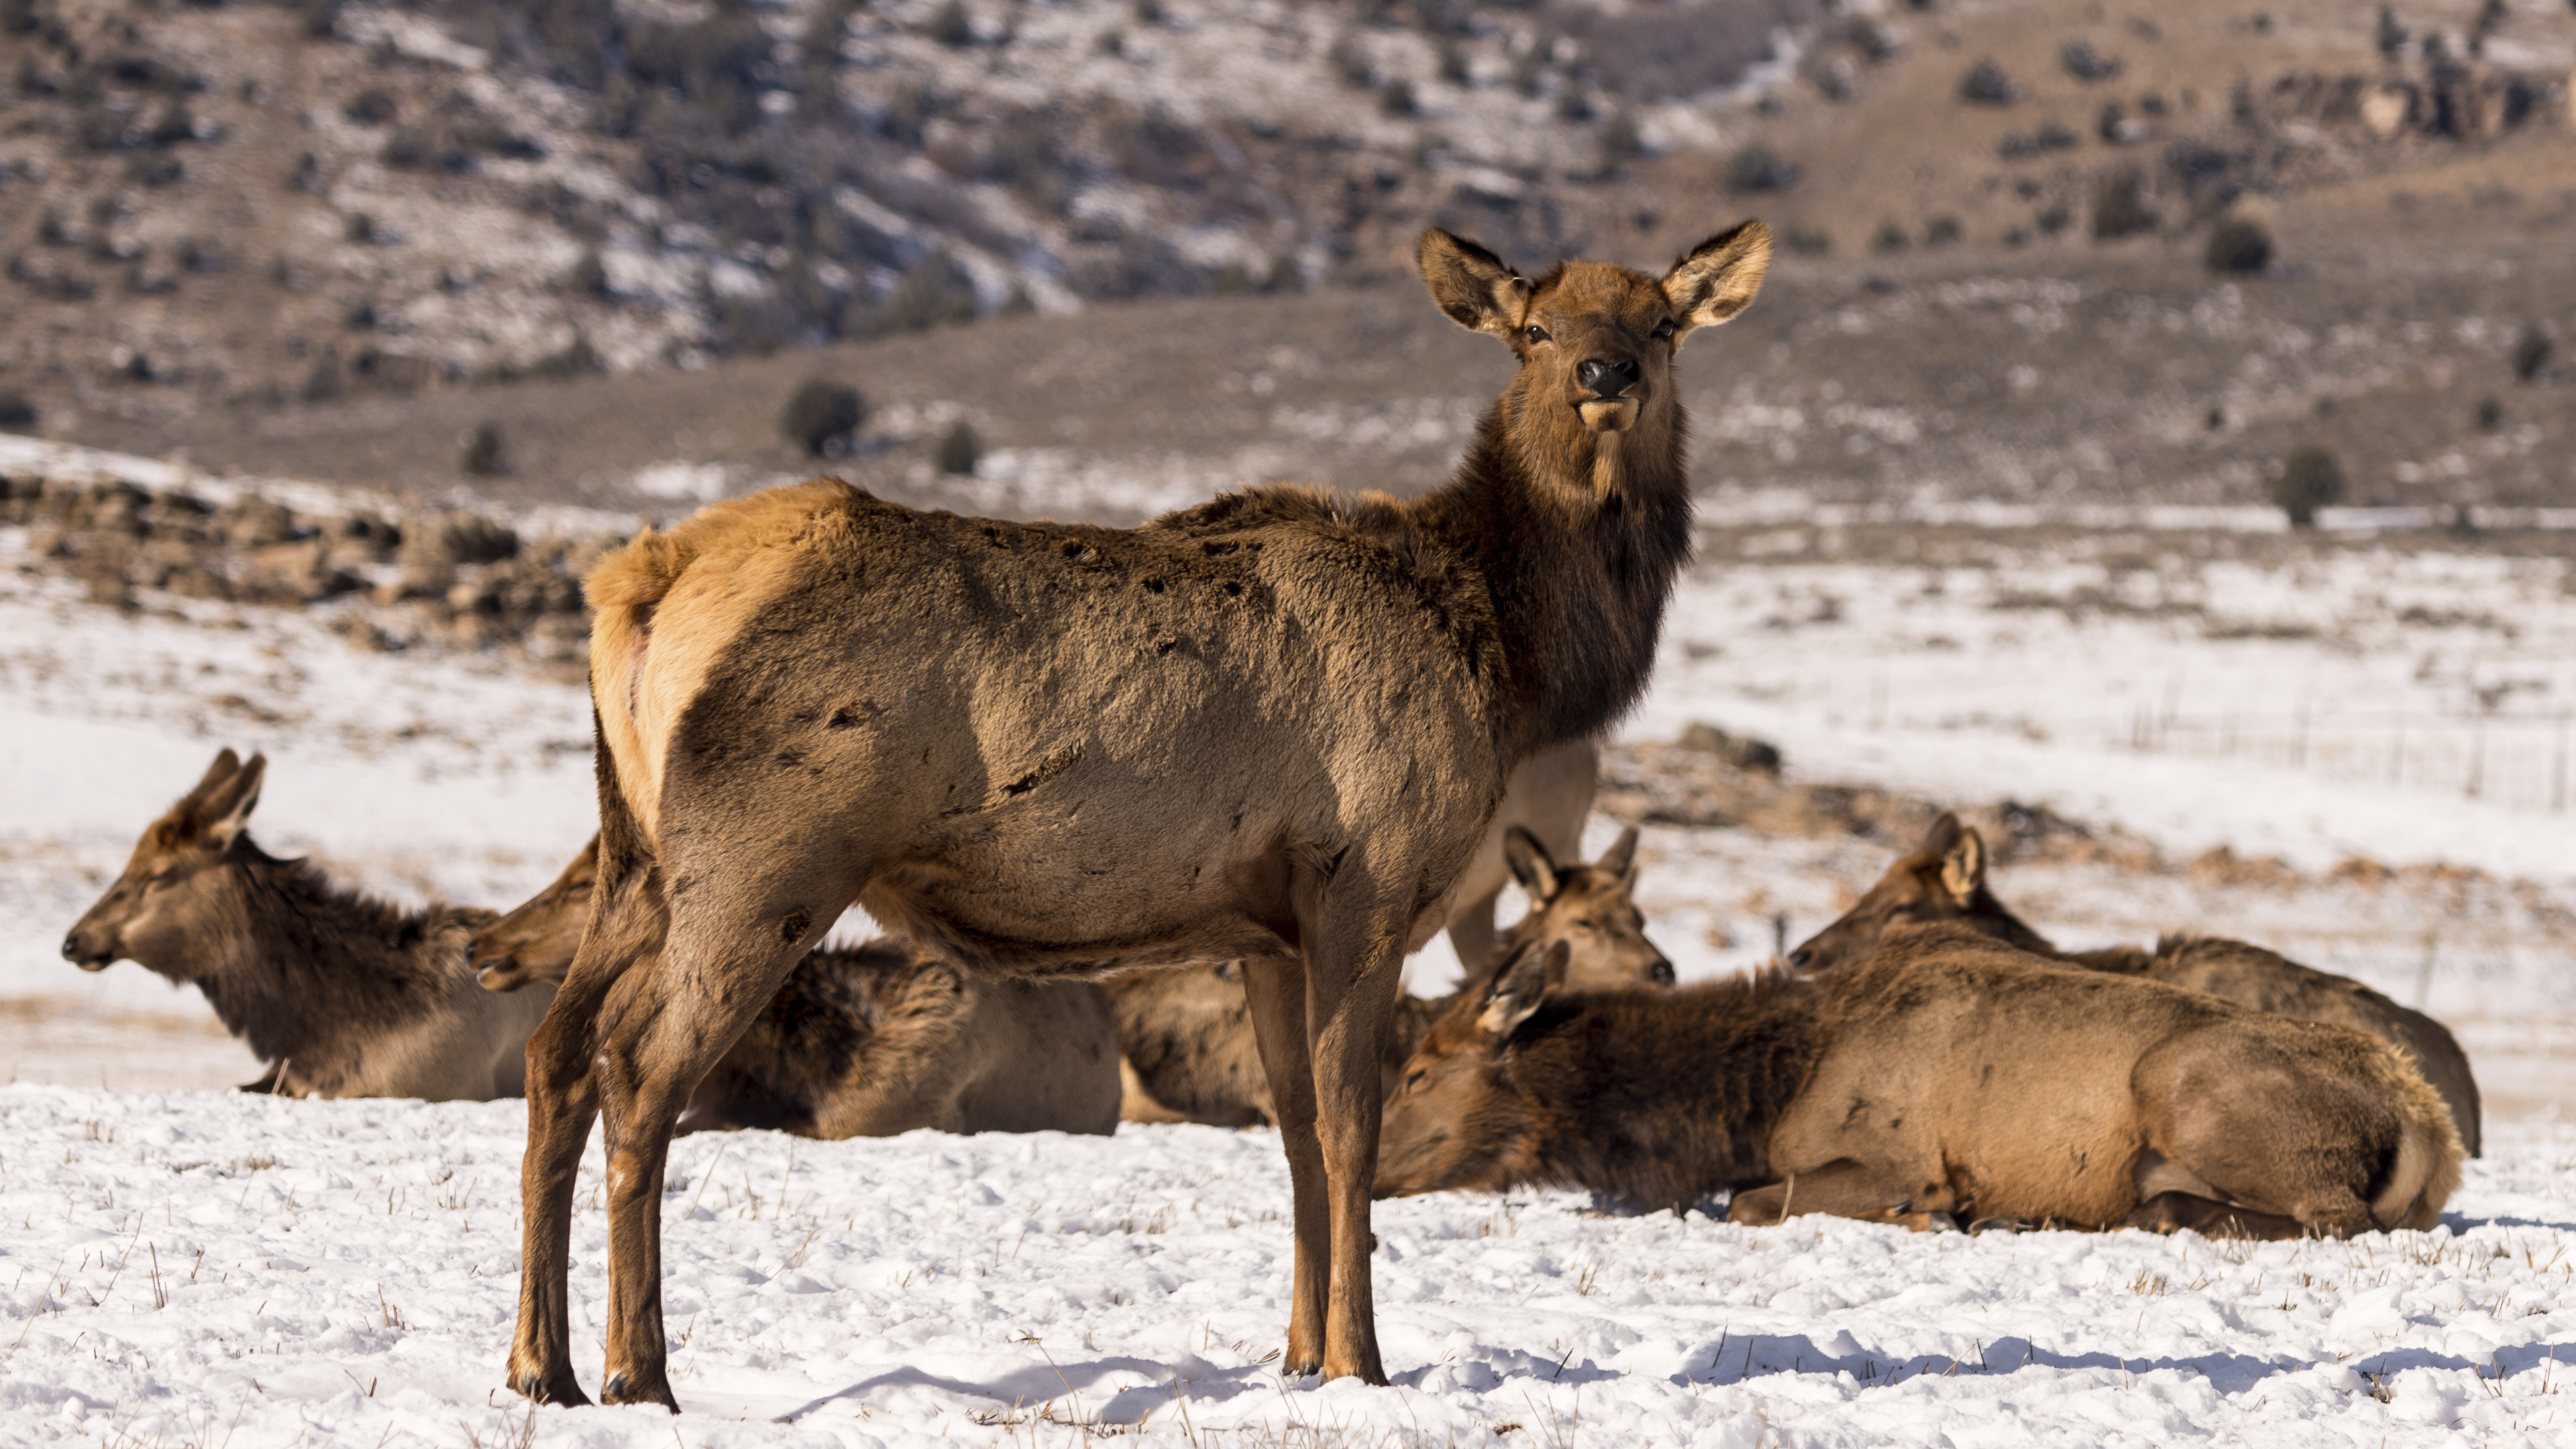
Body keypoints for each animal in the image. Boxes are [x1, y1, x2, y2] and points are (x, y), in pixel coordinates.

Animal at [1380, 926, 2462, 1239]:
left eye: (1419, 1070)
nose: (1372, 1169)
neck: (1768, 1084)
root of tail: (2429, 1123)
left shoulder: (1897, 1159)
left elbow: (1749, 1199)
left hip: (2183, 1083)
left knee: (2331, 1219)